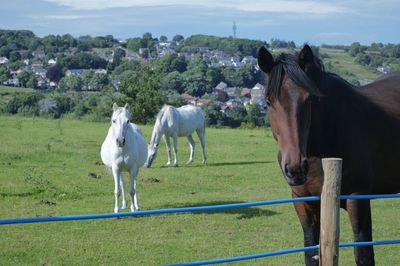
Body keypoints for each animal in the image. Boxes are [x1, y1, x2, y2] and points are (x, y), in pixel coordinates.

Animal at [258, 44, 398, 264]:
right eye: (268, 102)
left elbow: (363, 255)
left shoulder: (358, 198)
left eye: (309, 99)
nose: (295, 169)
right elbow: (311, 253)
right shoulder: (303, 202)